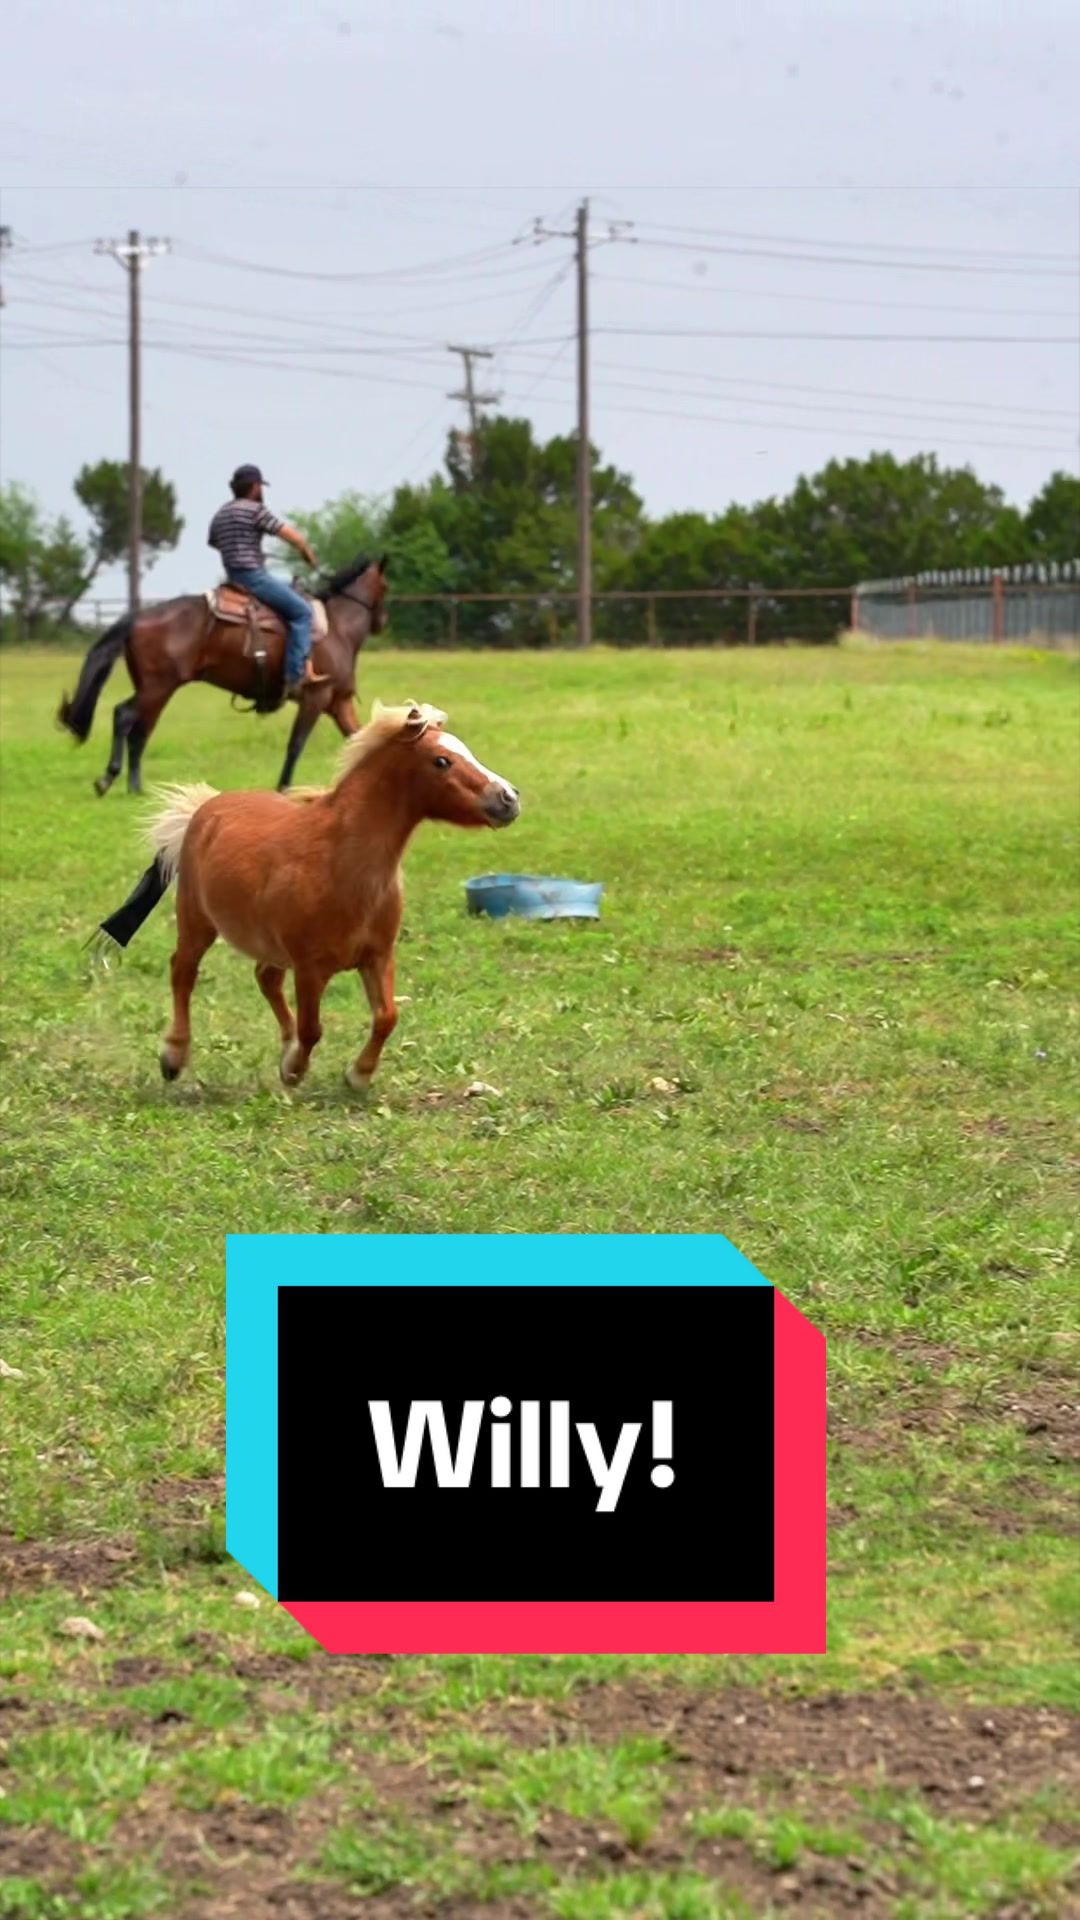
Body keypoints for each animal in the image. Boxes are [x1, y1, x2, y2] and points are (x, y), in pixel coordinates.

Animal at [57, 553, 389, 796]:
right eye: (385, 587)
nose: (382, 621)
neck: (337, 629)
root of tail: (139, 617)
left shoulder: (339, 702)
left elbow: (360, 737)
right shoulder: (315, 698)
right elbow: (296, 745)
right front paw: (283, 788)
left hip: (154, 689)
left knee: (136, 728)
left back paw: (132, 787)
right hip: (157, 688)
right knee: (127, 719)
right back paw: (112, 780)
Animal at [92, 701, 521, 1092]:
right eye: (442, 761)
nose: (509, 797)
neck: (340, 866)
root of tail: (204, 807)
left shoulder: (377, 956)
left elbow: (386, 1017)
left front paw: (355, 1075)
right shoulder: (310, 967)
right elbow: (313, 1027)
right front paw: (296, 1070)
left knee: (265, 979)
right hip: (196, 920)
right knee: (183, 973)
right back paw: (174, 1056)